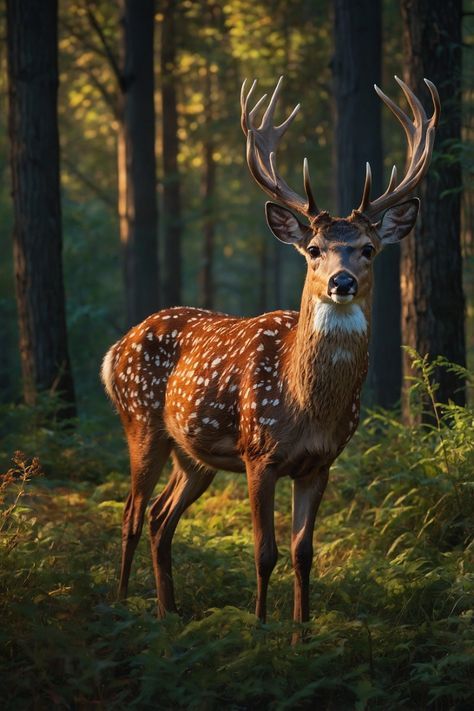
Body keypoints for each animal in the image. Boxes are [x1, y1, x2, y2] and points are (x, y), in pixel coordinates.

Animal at [102, 72, 438, 628]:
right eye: (313, 249)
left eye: (368, 249)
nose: (342, 282)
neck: (306, 405)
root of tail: (116, 349)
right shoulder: (259, 454)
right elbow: (264, 552)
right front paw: (260, 630)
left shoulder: (321, 462)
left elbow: (304, 553)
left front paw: (303, 633)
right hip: (141, 421)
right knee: (130, 511)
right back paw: (125, 606)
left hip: (194, 455)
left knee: (159, 516)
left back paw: (170, 613)